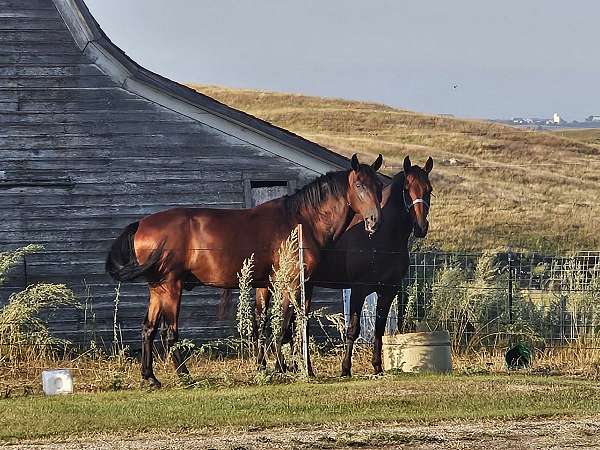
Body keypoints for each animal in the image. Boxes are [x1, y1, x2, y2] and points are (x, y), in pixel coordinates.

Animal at [105, 153, 382, 384]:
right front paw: (285, 368)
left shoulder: (273, 286)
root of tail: (141, 224)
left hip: (157, 290)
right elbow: (284, 326)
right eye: (359, 186)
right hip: (171, 288)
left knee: (148, 329)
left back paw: (150, 377)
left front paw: (272, 367)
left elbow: (270, 325)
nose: (374, 221)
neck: (302, 221)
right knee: (168, 332)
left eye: (378, 186)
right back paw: (184, 375)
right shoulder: (291, 283)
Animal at [220, 155, 432, 376]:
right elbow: (353, 329)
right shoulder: (358, 289)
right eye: (407, 188)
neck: (382, 240)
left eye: (429, 189)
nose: (420, 227)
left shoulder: (388, 290)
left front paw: (377, 367)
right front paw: (345, 369)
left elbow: (379, 330)